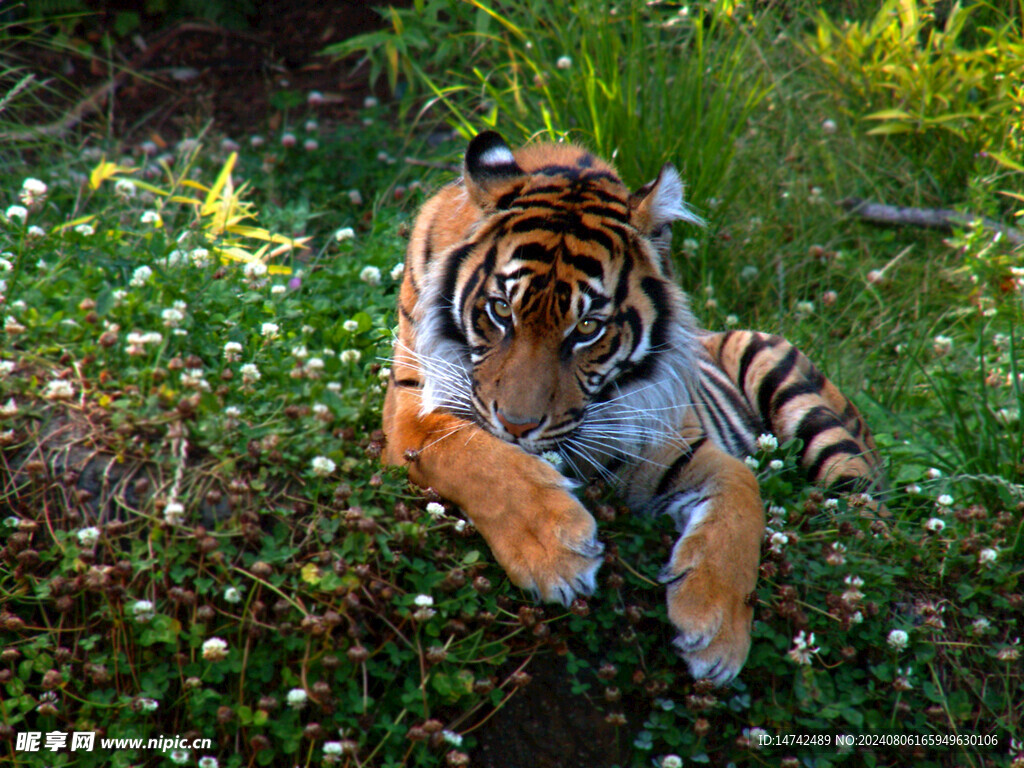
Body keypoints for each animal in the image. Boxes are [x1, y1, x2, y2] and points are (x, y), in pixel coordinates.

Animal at [381, 131, 881, 686]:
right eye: (501, 310)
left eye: (586, 329)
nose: (516, 425)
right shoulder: (412, 411)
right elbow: (476, 459)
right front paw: (555, 552)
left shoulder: (668, 443)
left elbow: (742, 494)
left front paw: (717, 629)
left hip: (793, 389)